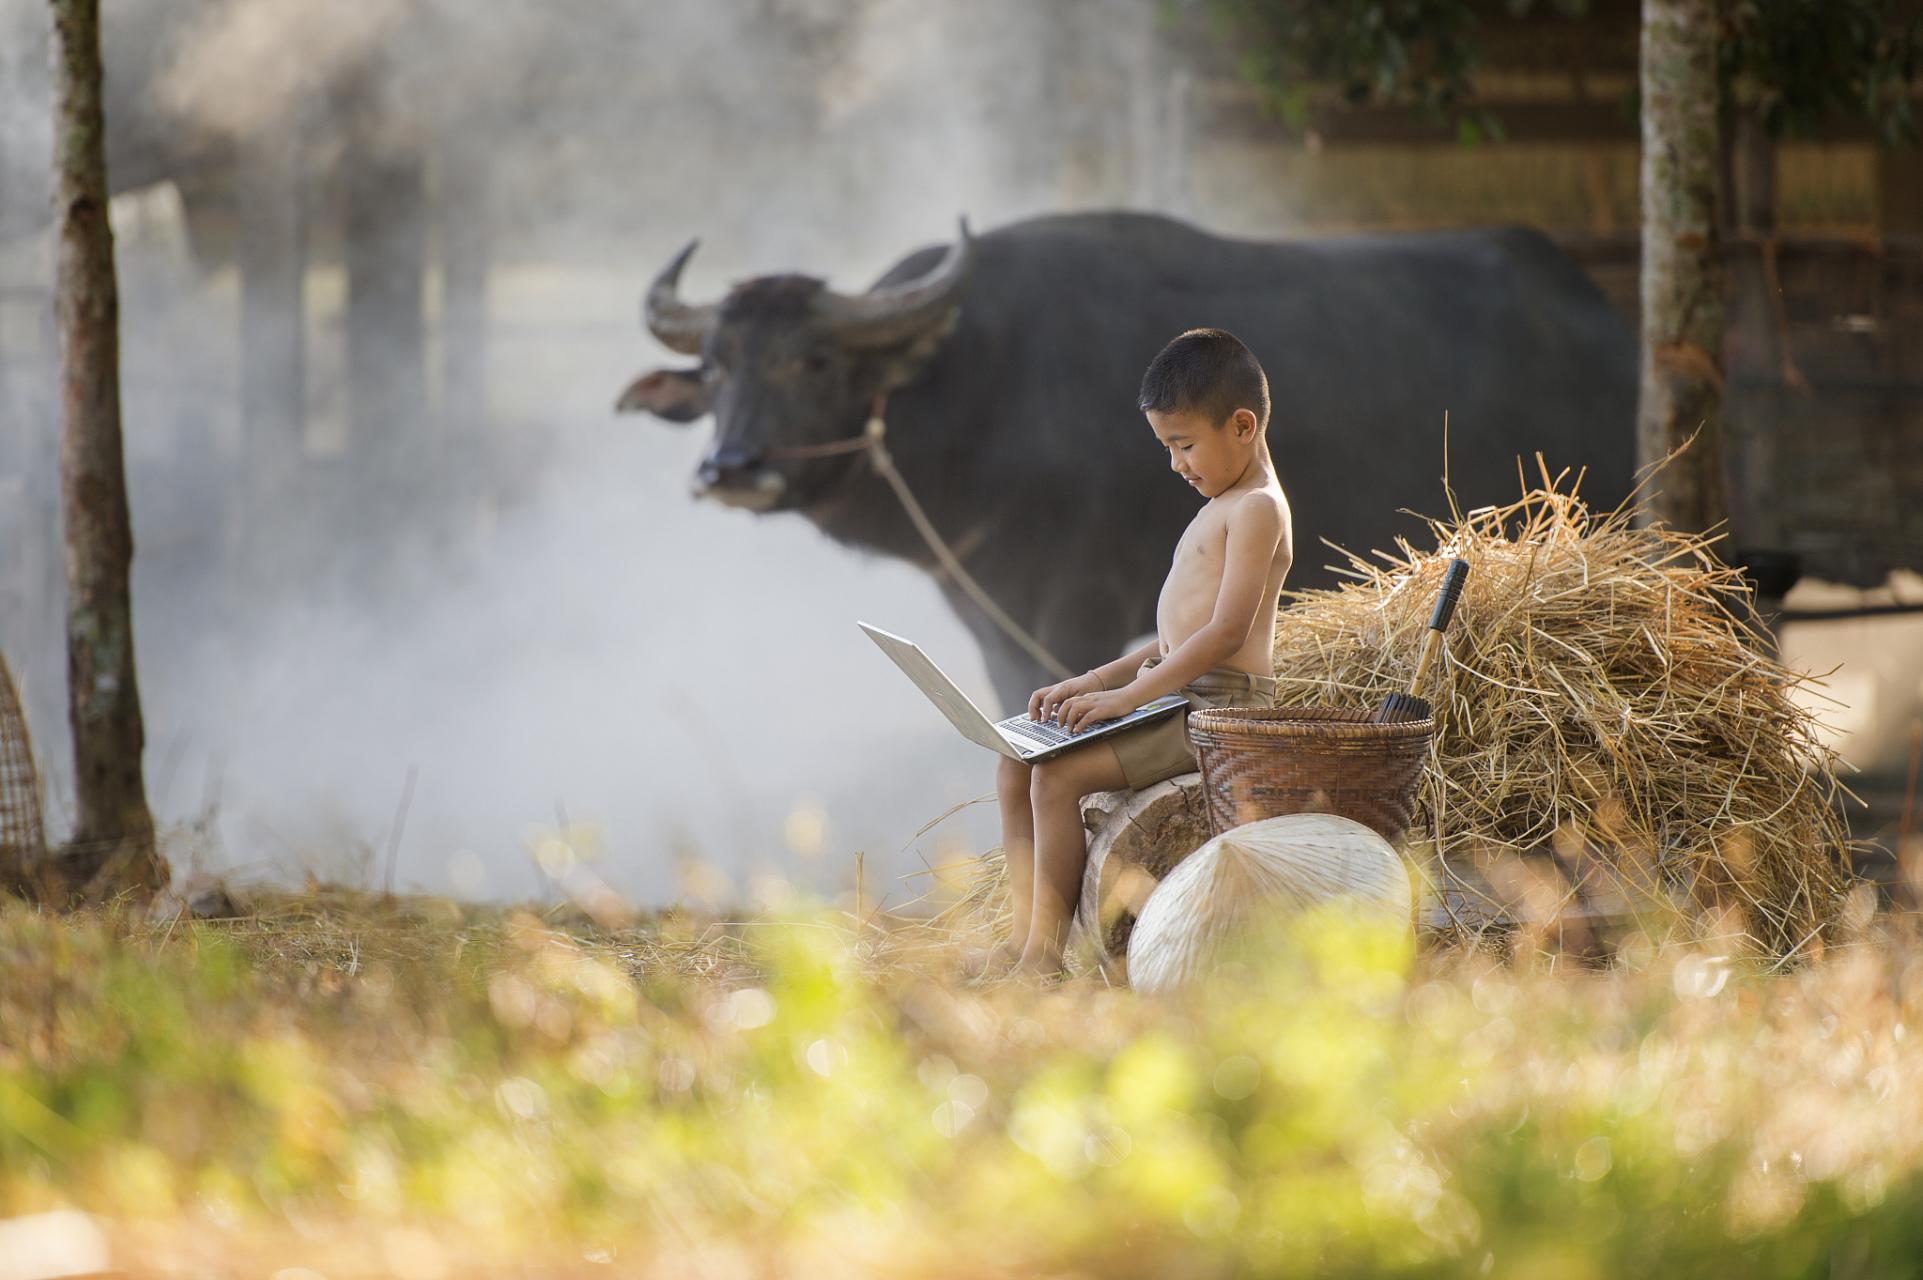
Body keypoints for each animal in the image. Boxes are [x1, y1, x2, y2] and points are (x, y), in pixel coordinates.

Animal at [619, 209, 1638, 707]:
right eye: (716, 366)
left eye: (817, 359)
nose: (730, 468)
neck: (976, 393)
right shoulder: (993, 625)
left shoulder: (1068, 614)